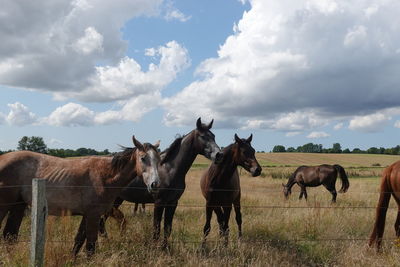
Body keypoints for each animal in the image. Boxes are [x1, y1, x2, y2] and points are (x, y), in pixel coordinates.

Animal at [1, 136, 161, 258]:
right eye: (143, 158)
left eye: (159, 160)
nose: (155, 184)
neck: (104, 176)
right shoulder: (93, 215)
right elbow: (90, 246)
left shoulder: (88, 215)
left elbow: (78, 241)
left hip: (18, 206)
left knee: (10, 235)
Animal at [97, 118, 222, 248]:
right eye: (203, 136)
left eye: (213, 136)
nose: (219, 154)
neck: (169, 169)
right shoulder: (159, 202)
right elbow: (156, 229)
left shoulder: (172, 203)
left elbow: (167, 228)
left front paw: (165, 248)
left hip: (117, 200)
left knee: (101, 223)